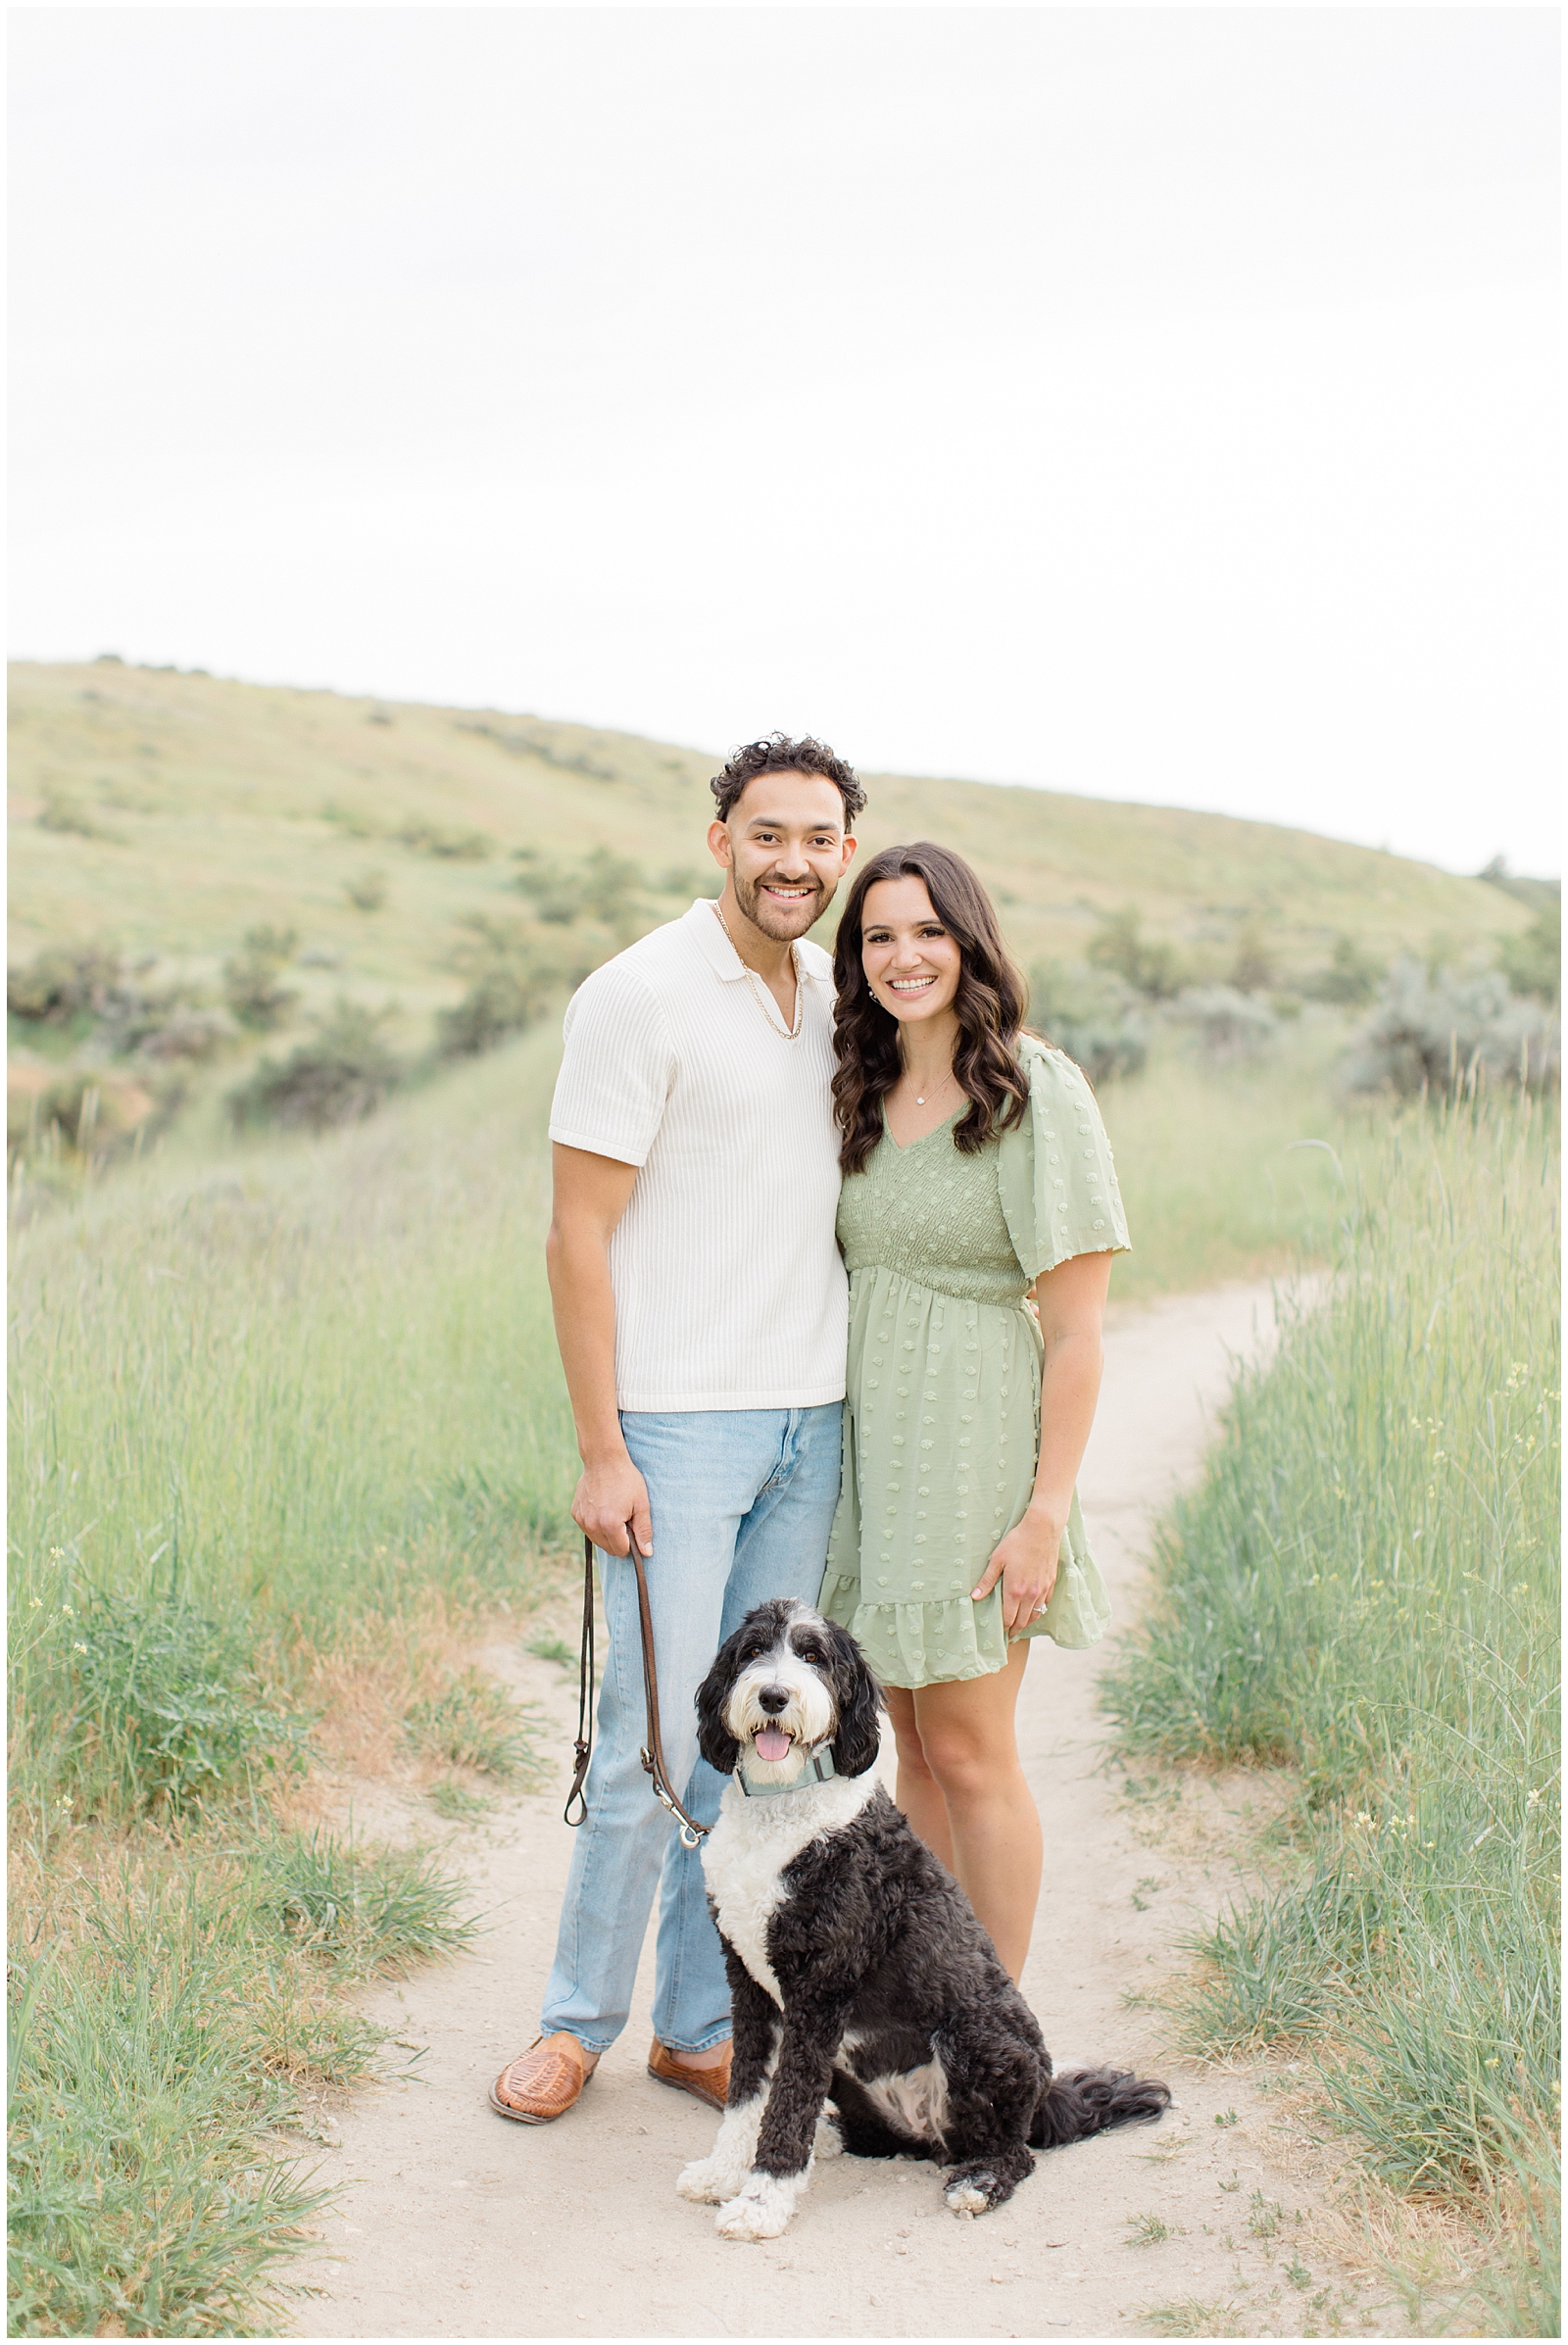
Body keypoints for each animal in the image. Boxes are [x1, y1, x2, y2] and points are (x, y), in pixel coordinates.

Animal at [679, 1603, 1167, 2241]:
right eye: (753, 1651)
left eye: (813, 1656)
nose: (774, 1696)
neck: (783, 1811)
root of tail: (1045, 2099)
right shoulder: (751, 1984)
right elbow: (750, 2092)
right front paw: (722, 2172)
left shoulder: (819, 1992)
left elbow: (787, 2102)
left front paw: (763, 2201)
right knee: (885, 2138)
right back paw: (835, 2139)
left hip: (975, 2038)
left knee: (1013, 2153)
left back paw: (978, 2183)